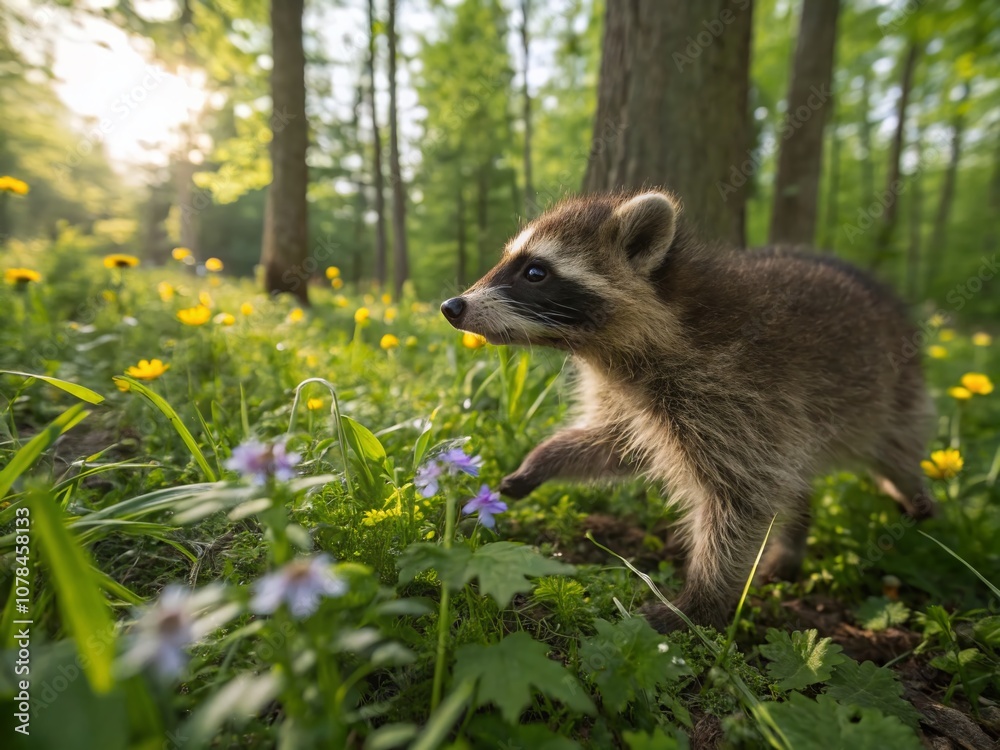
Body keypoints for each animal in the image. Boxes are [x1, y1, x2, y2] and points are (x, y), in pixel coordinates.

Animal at [440, 190, 935, 632]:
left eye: (535, 271)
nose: (452, 306)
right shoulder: (636, 398)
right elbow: (614, 446)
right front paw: (542, 460)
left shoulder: (739, 396)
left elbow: (743, 499)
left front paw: (701, 600)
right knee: (798, 478)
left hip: (897, 389)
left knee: (897, 447)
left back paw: (913, 492)